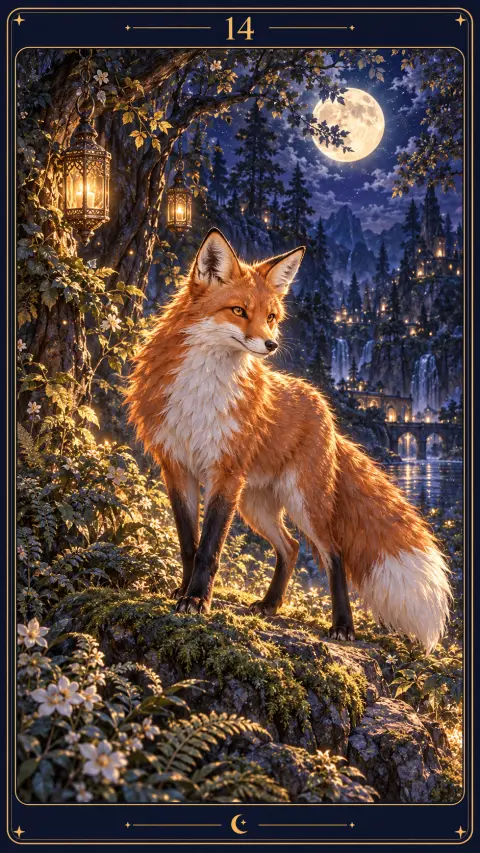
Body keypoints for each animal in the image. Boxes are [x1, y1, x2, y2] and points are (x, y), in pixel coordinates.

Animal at [125, 228, 451, 652]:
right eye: (238, 311)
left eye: (271, 317)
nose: (271, 345)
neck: (203, 387)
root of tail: (323, 407)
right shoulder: (176, 466)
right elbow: (188, 545)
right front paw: (184, 594)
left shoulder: (224, 472)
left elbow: (209, 550)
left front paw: (197, 600)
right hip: (254, 504)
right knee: (291, 547)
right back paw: (270, 603)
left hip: (300, 501)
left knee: (332, 553)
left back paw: (342, 625)